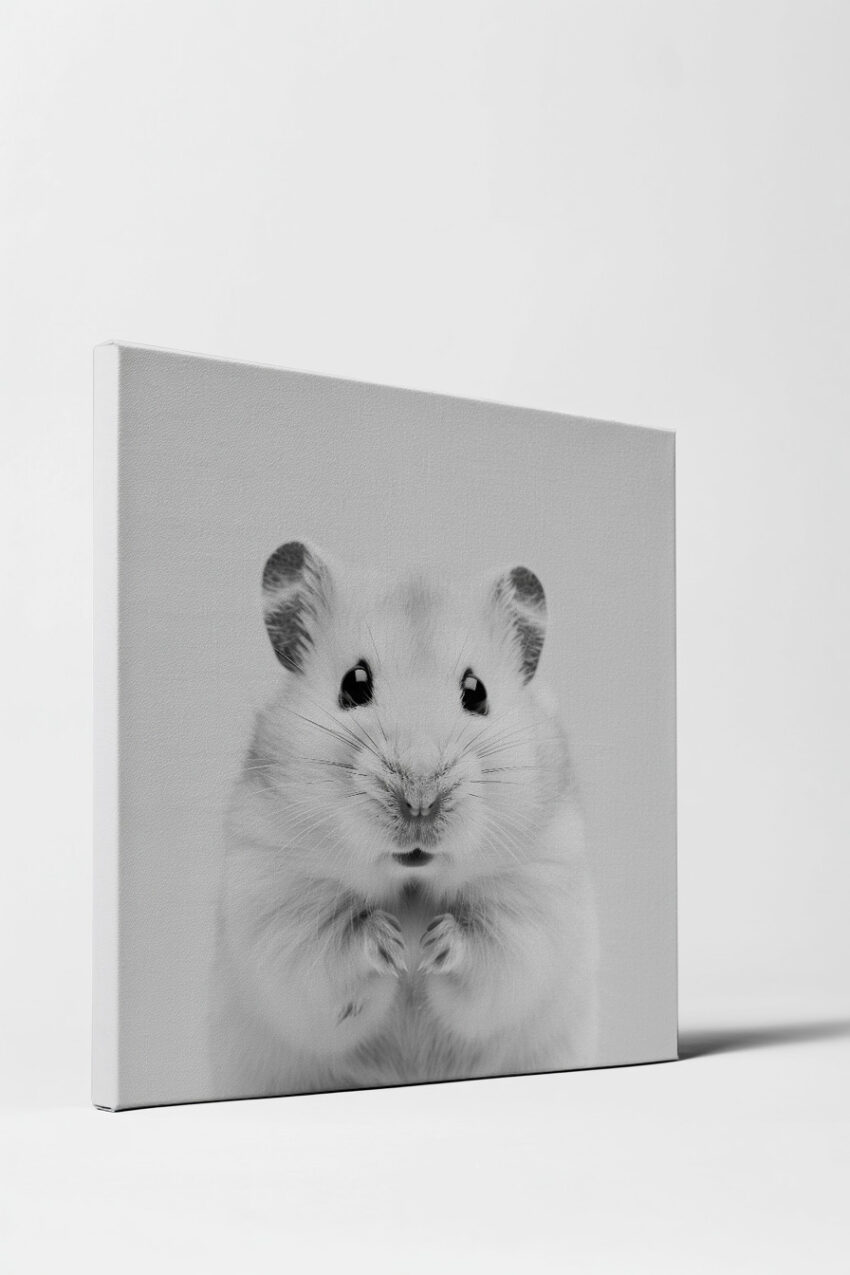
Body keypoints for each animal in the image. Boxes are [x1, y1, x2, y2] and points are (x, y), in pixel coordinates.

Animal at [210, 540, 599, 1097]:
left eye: (477, 691)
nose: (419, 799)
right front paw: (394, 944)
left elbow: (492, 955)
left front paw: (432, 944)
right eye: (354, 684)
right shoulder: (276, 905)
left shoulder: (537, 902)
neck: (411, 882)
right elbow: (330, 953)